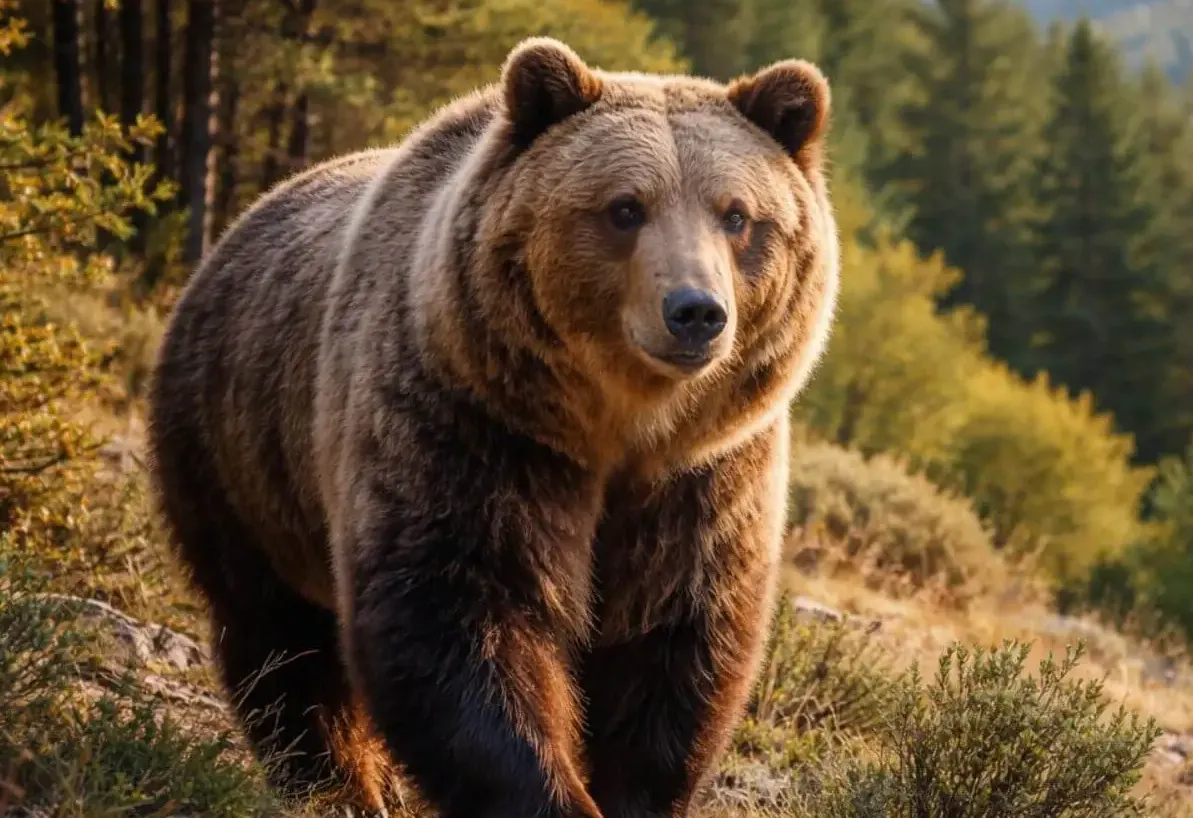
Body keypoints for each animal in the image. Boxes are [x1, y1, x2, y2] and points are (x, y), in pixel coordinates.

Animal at [146, 36, 839, 818]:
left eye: (737, 214)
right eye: (625, 207)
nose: (695, 311)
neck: (617, 425)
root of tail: (236, 231)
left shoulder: (703, 477)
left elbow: (674, 646)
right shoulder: (473, 426)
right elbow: (461, 621)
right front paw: (549, 793)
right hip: (239, 453)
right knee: (279, 635)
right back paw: (331, 782)